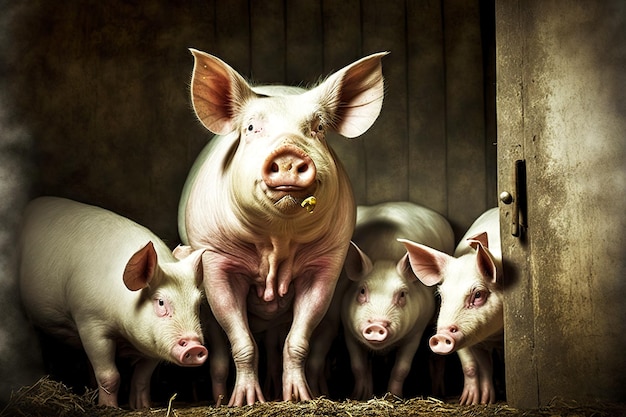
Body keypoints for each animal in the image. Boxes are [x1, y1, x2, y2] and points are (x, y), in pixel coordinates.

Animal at [20, 197, 207, 408]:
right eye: (160, 302)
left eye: (198, 304)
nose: (195, 346)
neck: (124, 334)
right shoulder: (90, 322)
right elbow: (110, 375)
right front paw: (109, 407)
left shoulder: (154, 344)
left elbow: (142, 379)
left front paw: (143, 407)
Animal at [178, 48, 386, 404]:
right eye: (250, 127)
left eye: (318, 127)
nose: (288, 153)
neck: (277, 242)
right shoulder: (216, 258)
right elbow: (242, 342)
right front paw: (246, 402)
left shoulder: (327, 262)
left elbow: (297, 341)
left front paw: (299, 398)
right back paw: (221, 399)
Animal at [400, 208, 502, 404]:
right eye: (441, 295)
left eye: (478, 294)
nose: (440, 336)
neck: (494, 335)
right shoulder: (472, 338)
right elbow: (478, 366)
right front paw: (474, 402)